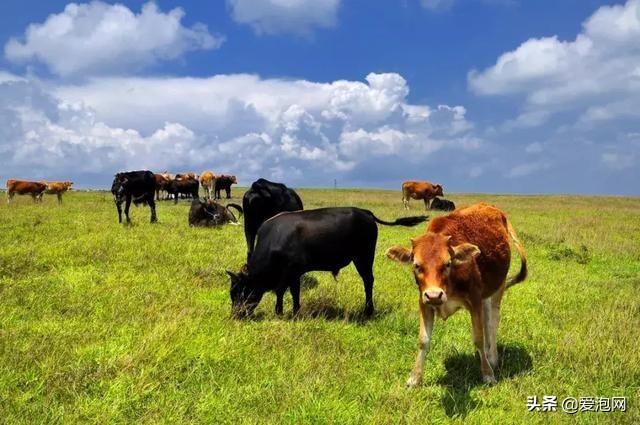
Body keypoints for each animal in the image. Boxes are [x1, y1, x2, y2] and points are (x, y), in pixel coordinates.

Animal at [228, 207, 428, 316]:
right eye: (232, 293)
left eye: (241, 291)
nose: (236, 315)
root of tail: (365, 212)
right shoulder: (295, 273)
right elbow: (294, 292)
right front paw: (295, 311)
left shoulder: (289, 271)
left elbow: (280, 291)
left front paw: (280, 312)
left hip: (364, 257)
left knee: (368, 281)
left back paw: (368, 310)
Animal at [384, 202, 524, 384]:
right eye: (416, 265)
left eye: (447, 263)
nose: (434, 295)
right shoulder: (424, 303)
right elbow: (423, 340)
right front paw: (415, 377)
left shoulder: (474, 301)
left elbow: (478, 337)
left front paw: (487, 373)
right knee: (487, 321)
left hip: (497, 288)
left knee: (492, 322)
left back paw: (492, 358)